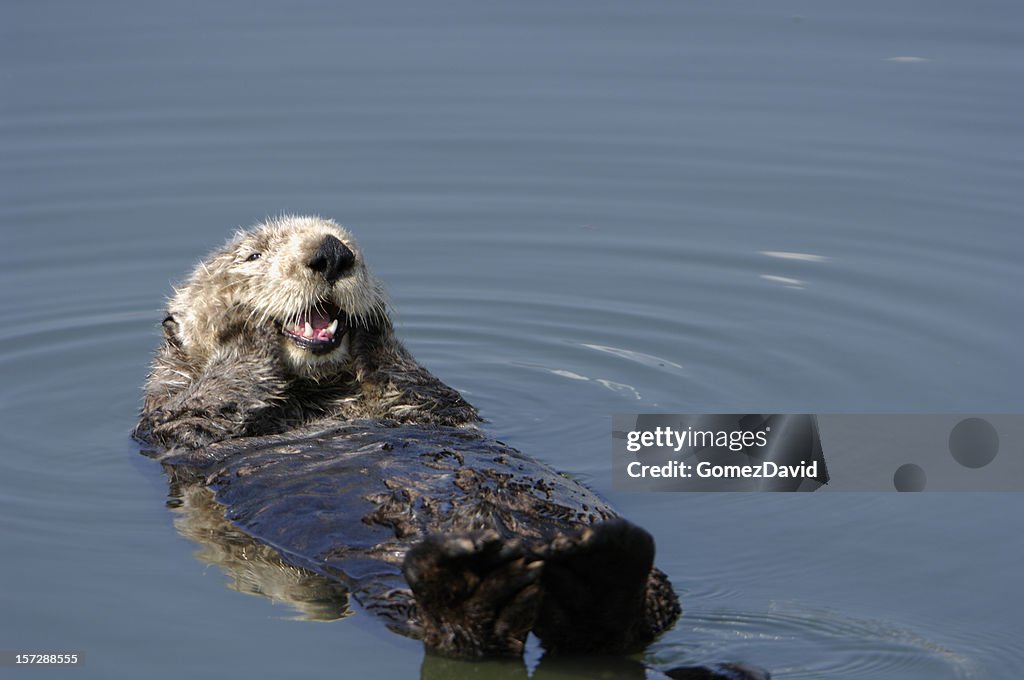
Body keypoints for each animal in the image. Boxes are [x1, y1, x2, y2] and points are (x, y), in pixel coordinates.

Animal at [132, 218, 765, 680]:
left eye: (349, 242)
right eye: (252, 256)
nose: (332, 254)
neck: (318, 397)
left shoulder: (433, 405)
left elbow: (419, 387)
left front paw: (375, 328)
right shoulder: (169, 423)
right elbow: (207, 405)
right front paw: (247, 337)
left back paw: (599, 568)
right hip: (393, 587)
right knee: (469, 640)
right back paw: (476, 583)